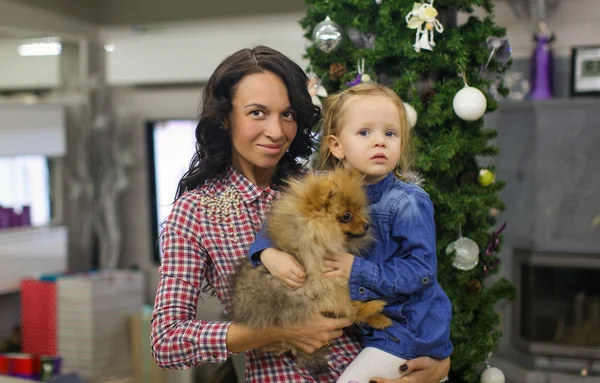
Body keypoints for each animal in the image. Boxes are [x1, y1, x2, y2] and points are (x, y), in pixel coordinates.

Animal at [231, 168, 394, 376]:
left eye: (359, 209)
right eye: (346, 216)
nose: (366, 224)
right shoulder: (324, 281)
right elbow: (349, 306)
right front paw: (371, 311)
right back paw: (375, 308)